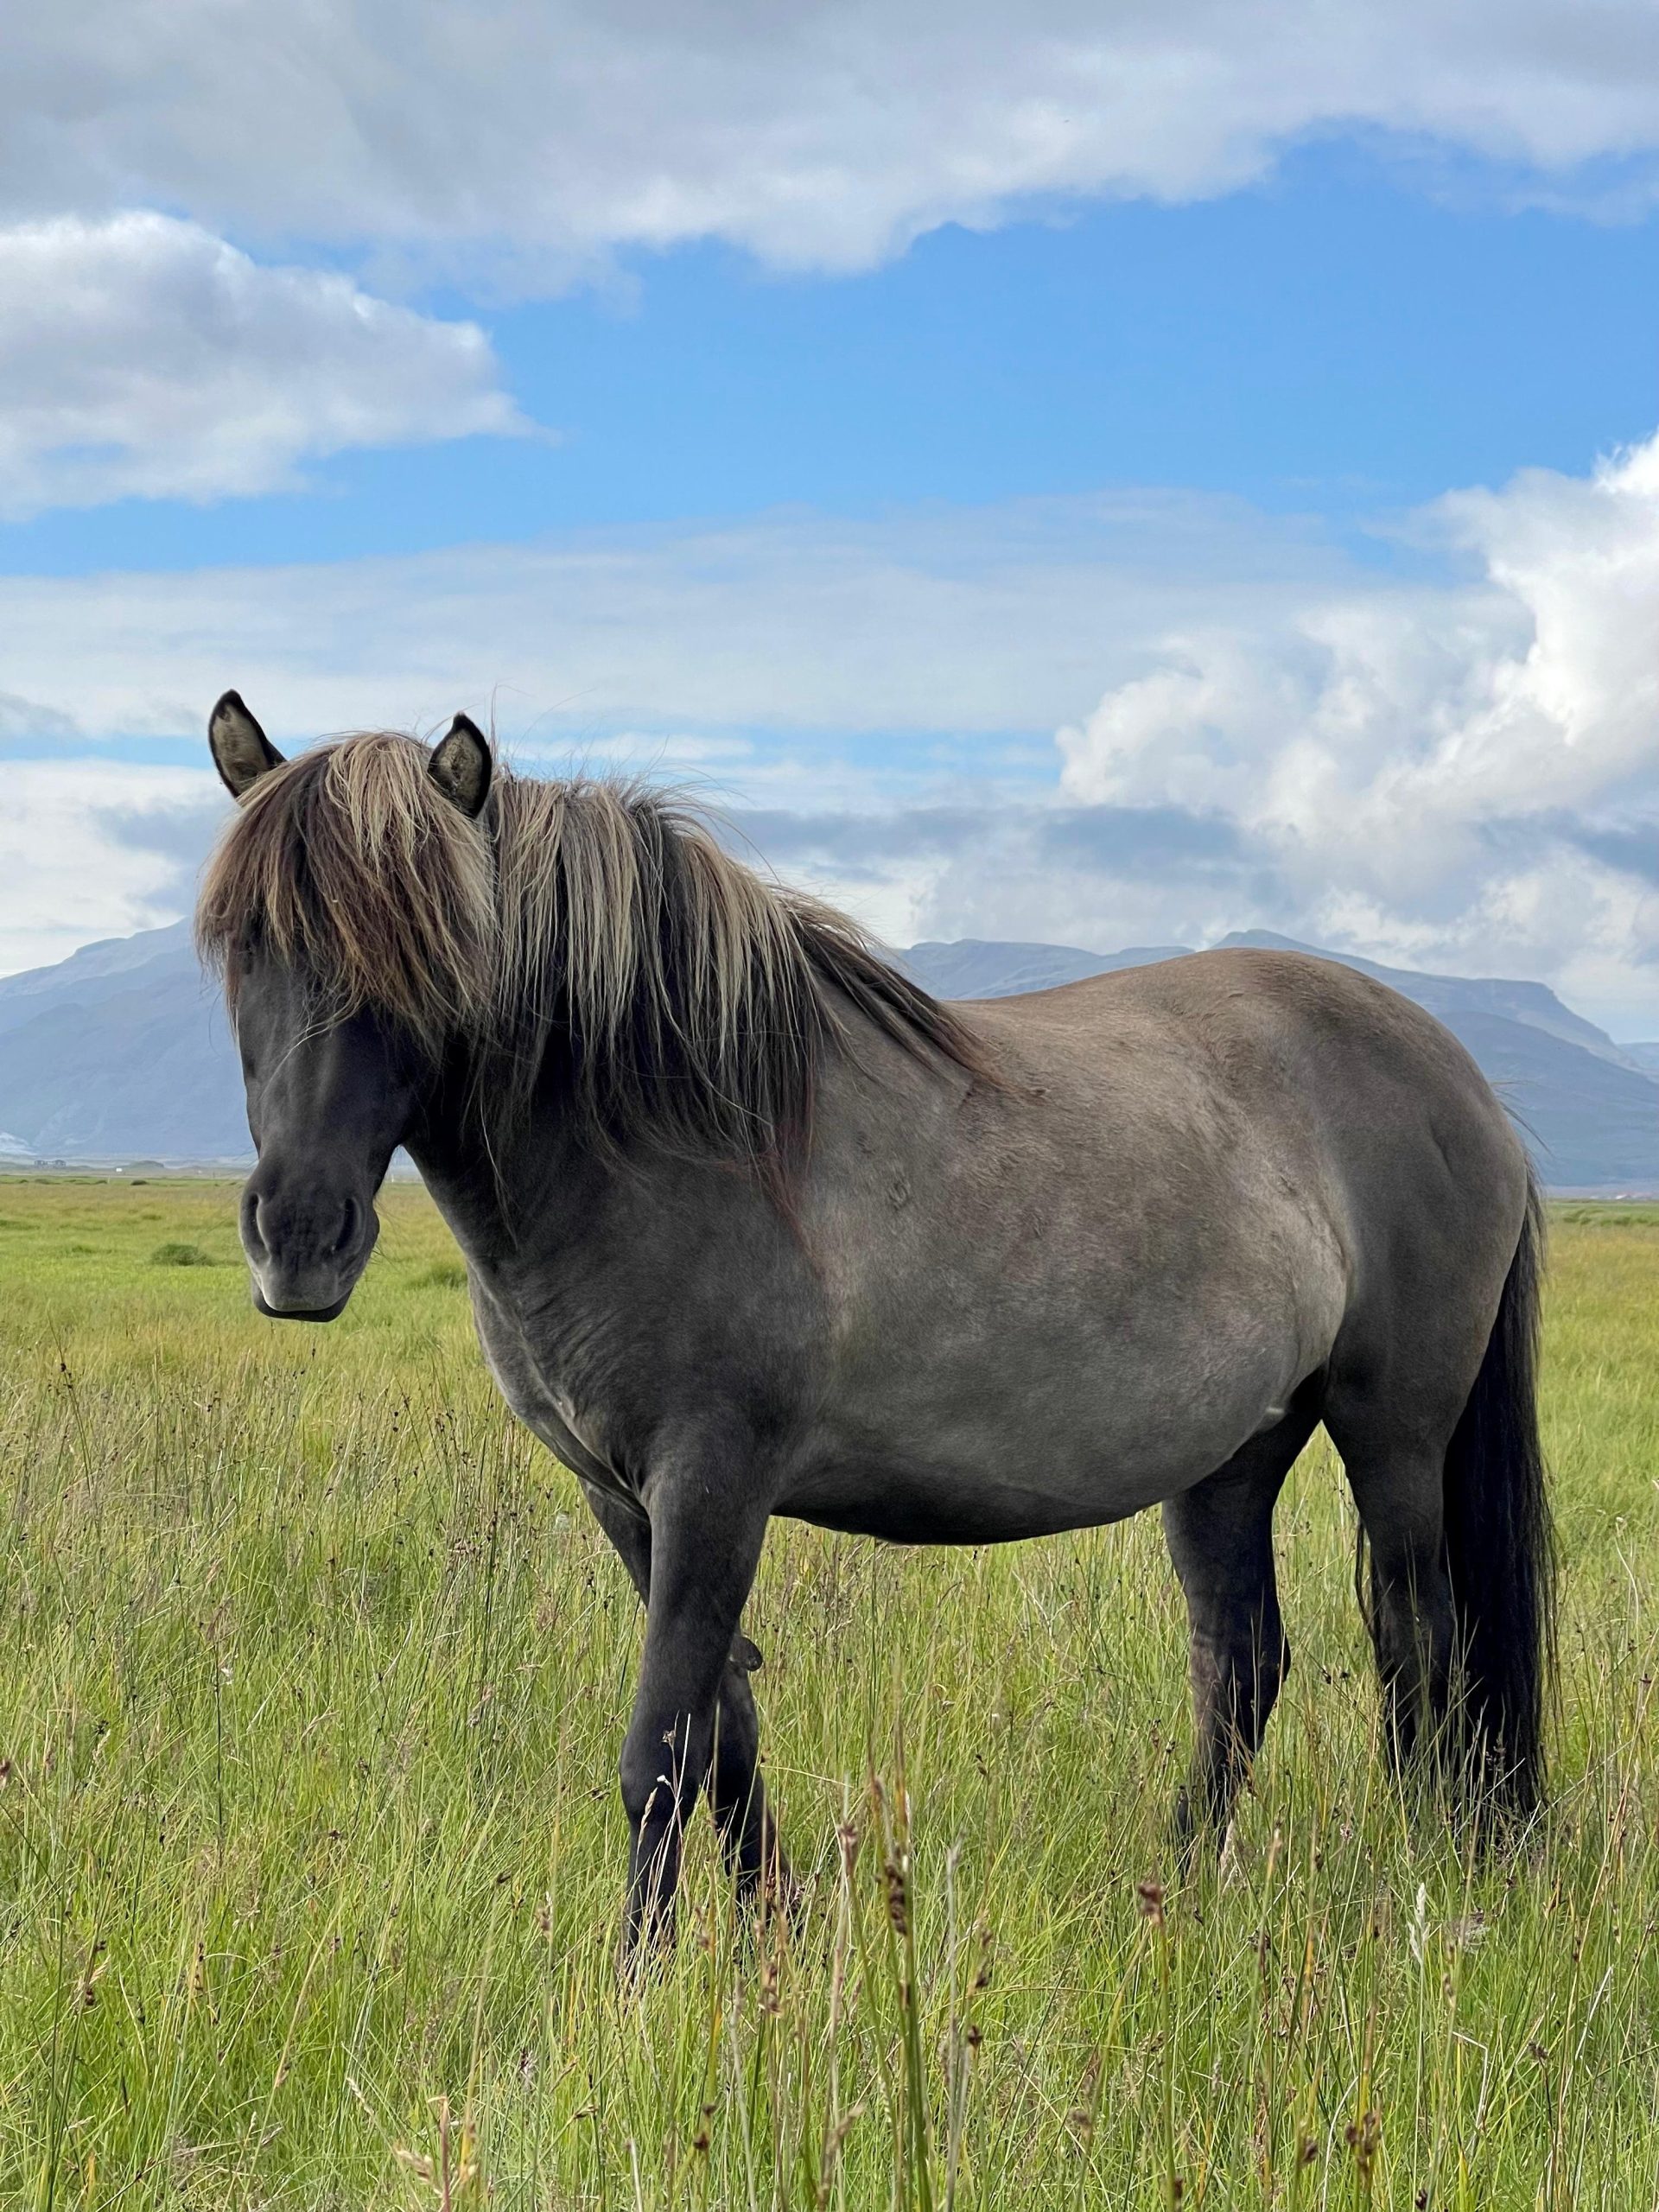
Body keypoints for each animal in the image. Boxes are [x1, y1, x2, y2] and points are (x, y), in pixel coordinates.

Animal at [197, 693, 1554, 1948]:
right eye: (243, 946)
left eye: (426, 953)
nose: (298, 1238)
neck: (663, 1132)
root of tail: (1463, 1077)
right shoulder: (625, 1499)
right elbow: (725, 1732)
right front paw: (772, 1936)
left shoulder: (713, 1482)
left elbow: (660, 1752)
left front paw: (636, 1984)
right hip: (1232, 1456)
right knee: (1243, 1663)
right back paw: (1179, 1890)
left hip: (1393, 1432)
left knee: (1422, 1648)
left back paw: (1441, 1879)